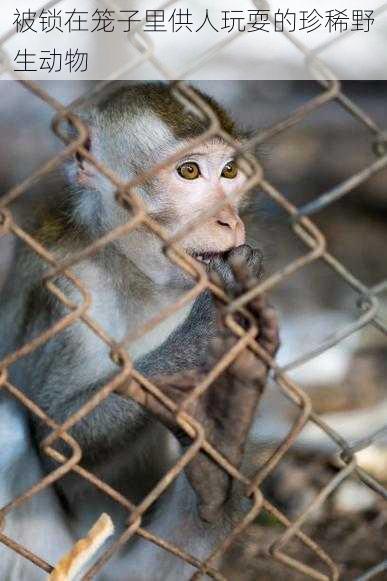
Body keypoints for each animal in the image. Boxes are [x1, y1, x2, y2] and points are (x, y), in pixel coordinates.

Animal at [0, 82, 278, 580]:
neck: (135, 271)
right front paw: (201, 343)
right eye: (189, 171)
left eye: (229, 171)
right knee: (9, 429)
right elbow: (58, 437)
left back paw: (217, 466)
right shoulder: (70, 289)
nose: (230, 219)